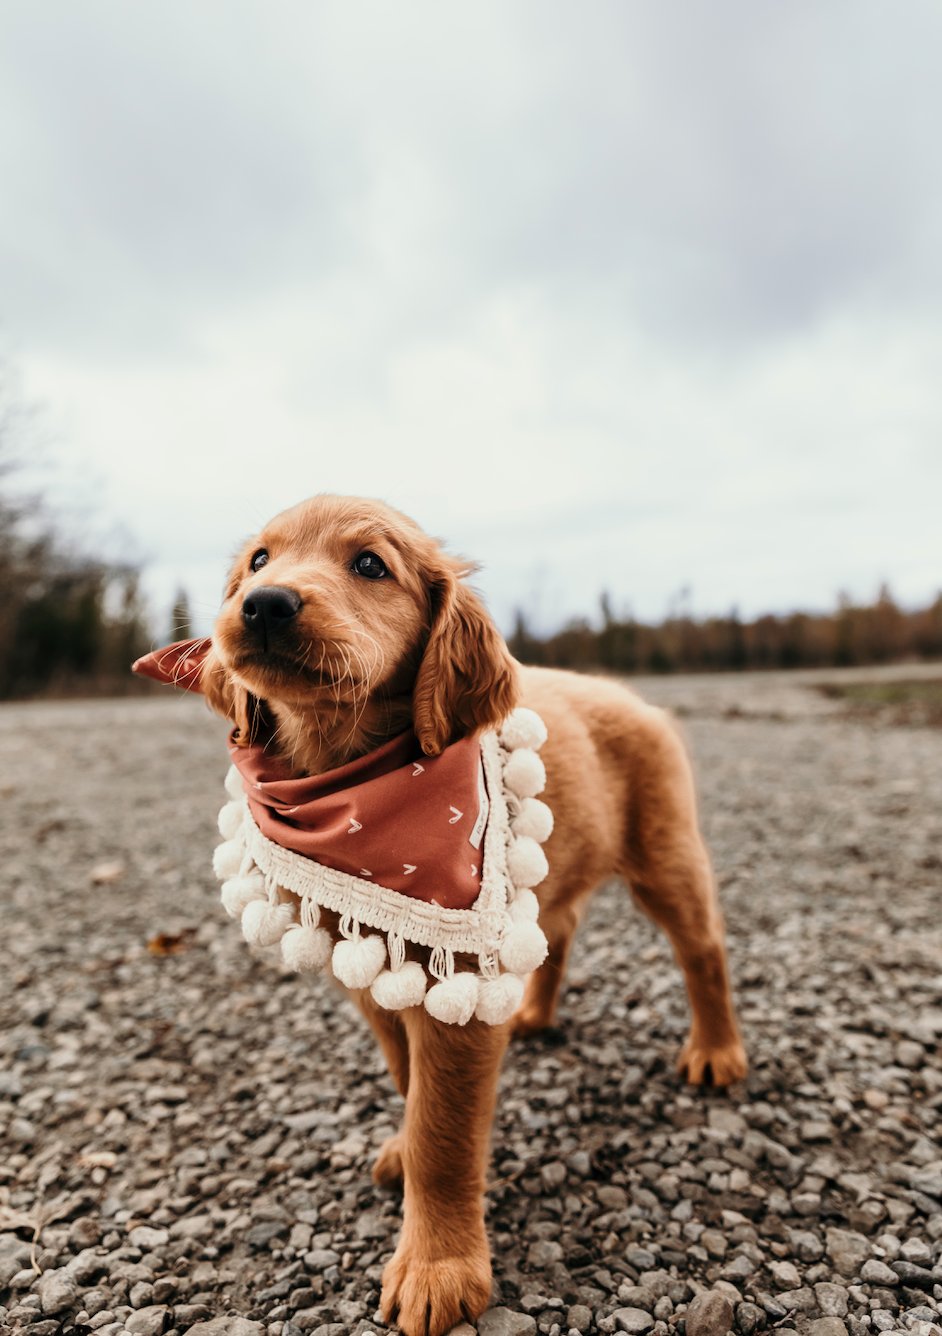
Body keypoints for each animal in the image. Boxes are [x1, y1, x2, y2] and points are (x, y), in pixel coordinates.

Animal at [187, 496, 742, 1336]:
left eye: (370, 565)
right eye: (258, 561)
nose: (265, 603)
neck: (348, 778)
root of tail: (625, 693)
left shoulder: (457, 995)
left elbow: (443, 1134)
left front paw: (436, 1267)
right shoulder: (371, 968)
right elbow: (408, 1081)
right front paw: (402, 1142)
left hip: (665, 854)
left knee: (702, 948)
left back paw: (716, 1050)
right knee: (557, 933)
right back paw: (535, 1015)